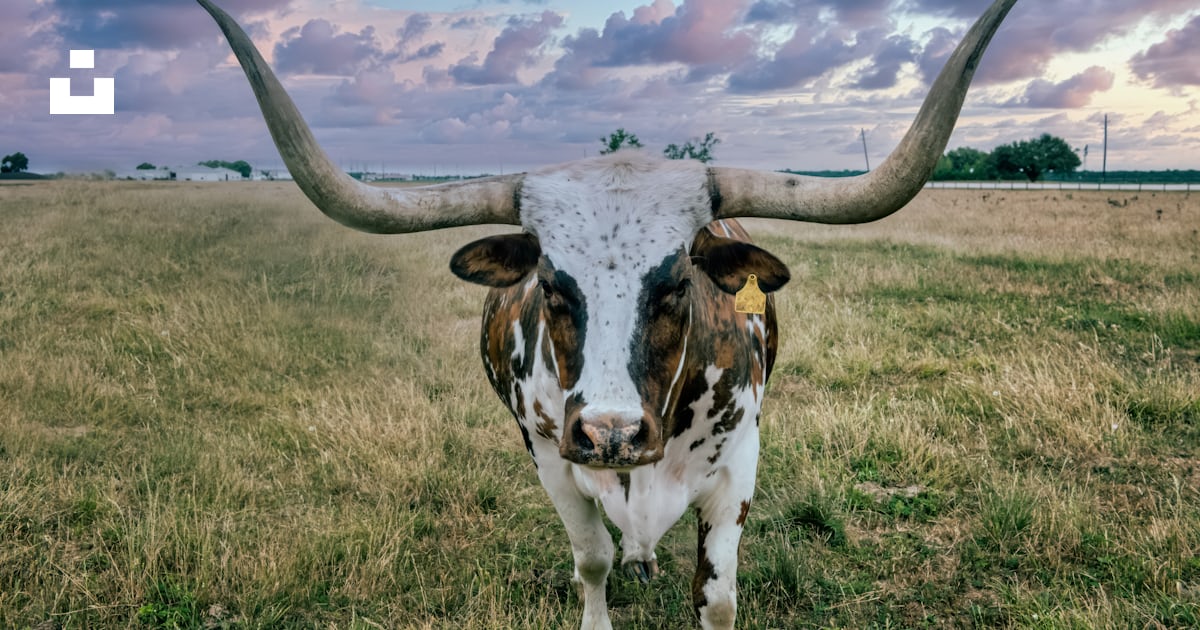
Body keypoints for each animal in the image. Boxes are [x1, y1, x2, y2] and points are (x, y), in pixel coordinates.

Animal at [197, 1, 1018, 627]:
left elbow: (718, 597)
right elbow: (591, 561)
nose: (612, 433)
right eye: (552, 285)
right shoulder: (550, 454)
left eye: (677, 284)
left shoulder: (740, 464)